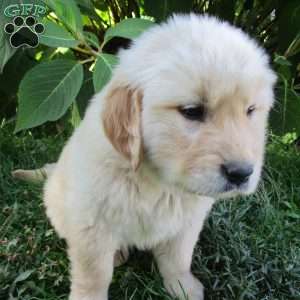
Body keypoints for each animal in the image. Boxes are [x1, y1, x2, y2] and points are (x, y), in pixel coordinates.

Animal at [42, 14, 276, 300]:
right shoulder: (91, 225)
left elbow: (178, 258)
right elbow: (94, 275)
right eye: (191, 111)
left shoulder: (187, 222)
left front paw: (183, 287)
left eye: (250, 110)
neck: (157, 181)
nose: (242, 173)